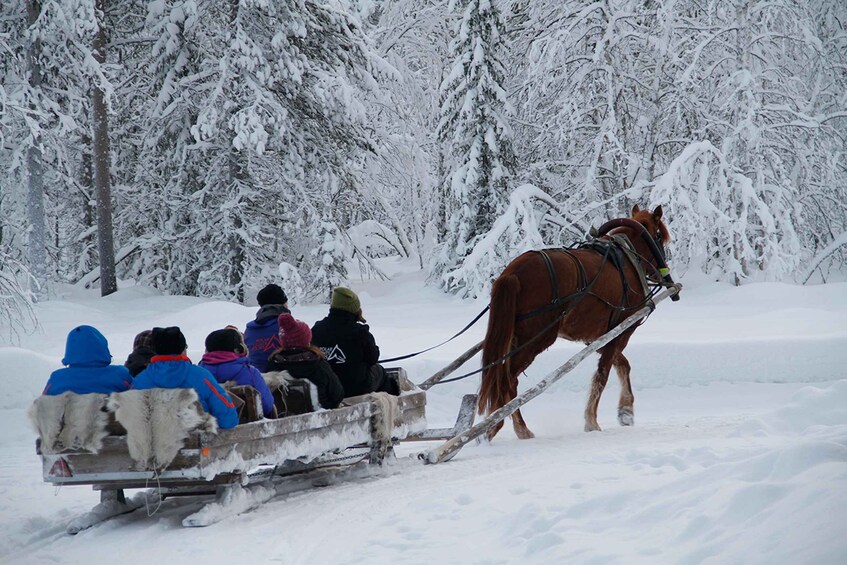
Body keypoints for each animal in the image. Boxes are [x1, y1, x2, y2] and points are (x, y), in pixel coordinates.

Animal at [480, 205, 672, 438]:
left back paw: (496, 425)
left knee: (500, 377)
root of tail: (512, 273)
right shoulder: (622, 330)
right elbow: (602, 375)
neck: (628, 259)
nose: (663, 272)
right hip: (536, 339)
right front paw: (592, 421)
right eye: (659, 236)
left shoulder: (599, 336)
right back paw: (517, 428)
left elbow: (623, 365)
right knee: (508, 381)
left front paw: (626, 411)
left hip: (514, 337)